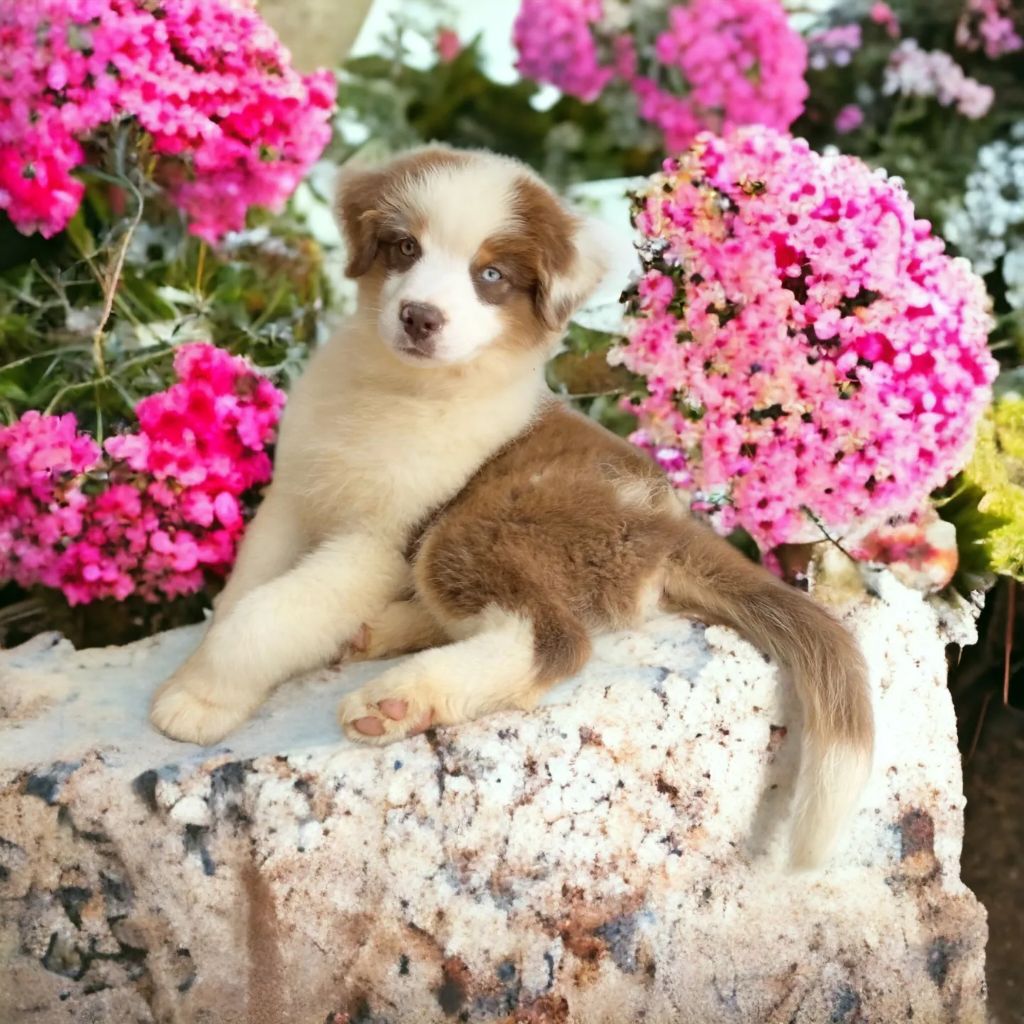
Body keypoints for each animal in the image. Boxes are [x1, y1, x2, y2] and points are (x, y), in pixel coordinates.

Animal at [151, 145, 873, 869]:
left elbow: (265, 616)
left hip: (478, 525)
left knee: (552, 639)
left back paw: (401, 698)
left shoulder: (379, 542)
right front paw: (200, 678)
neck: (402, 391)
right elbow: (244, 592)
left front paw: (194, 702)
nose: (420, 317)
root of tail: (664, 524)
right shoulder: (292, 498)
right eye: (405, 247)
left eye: (490, 275)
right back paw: (380, 637)